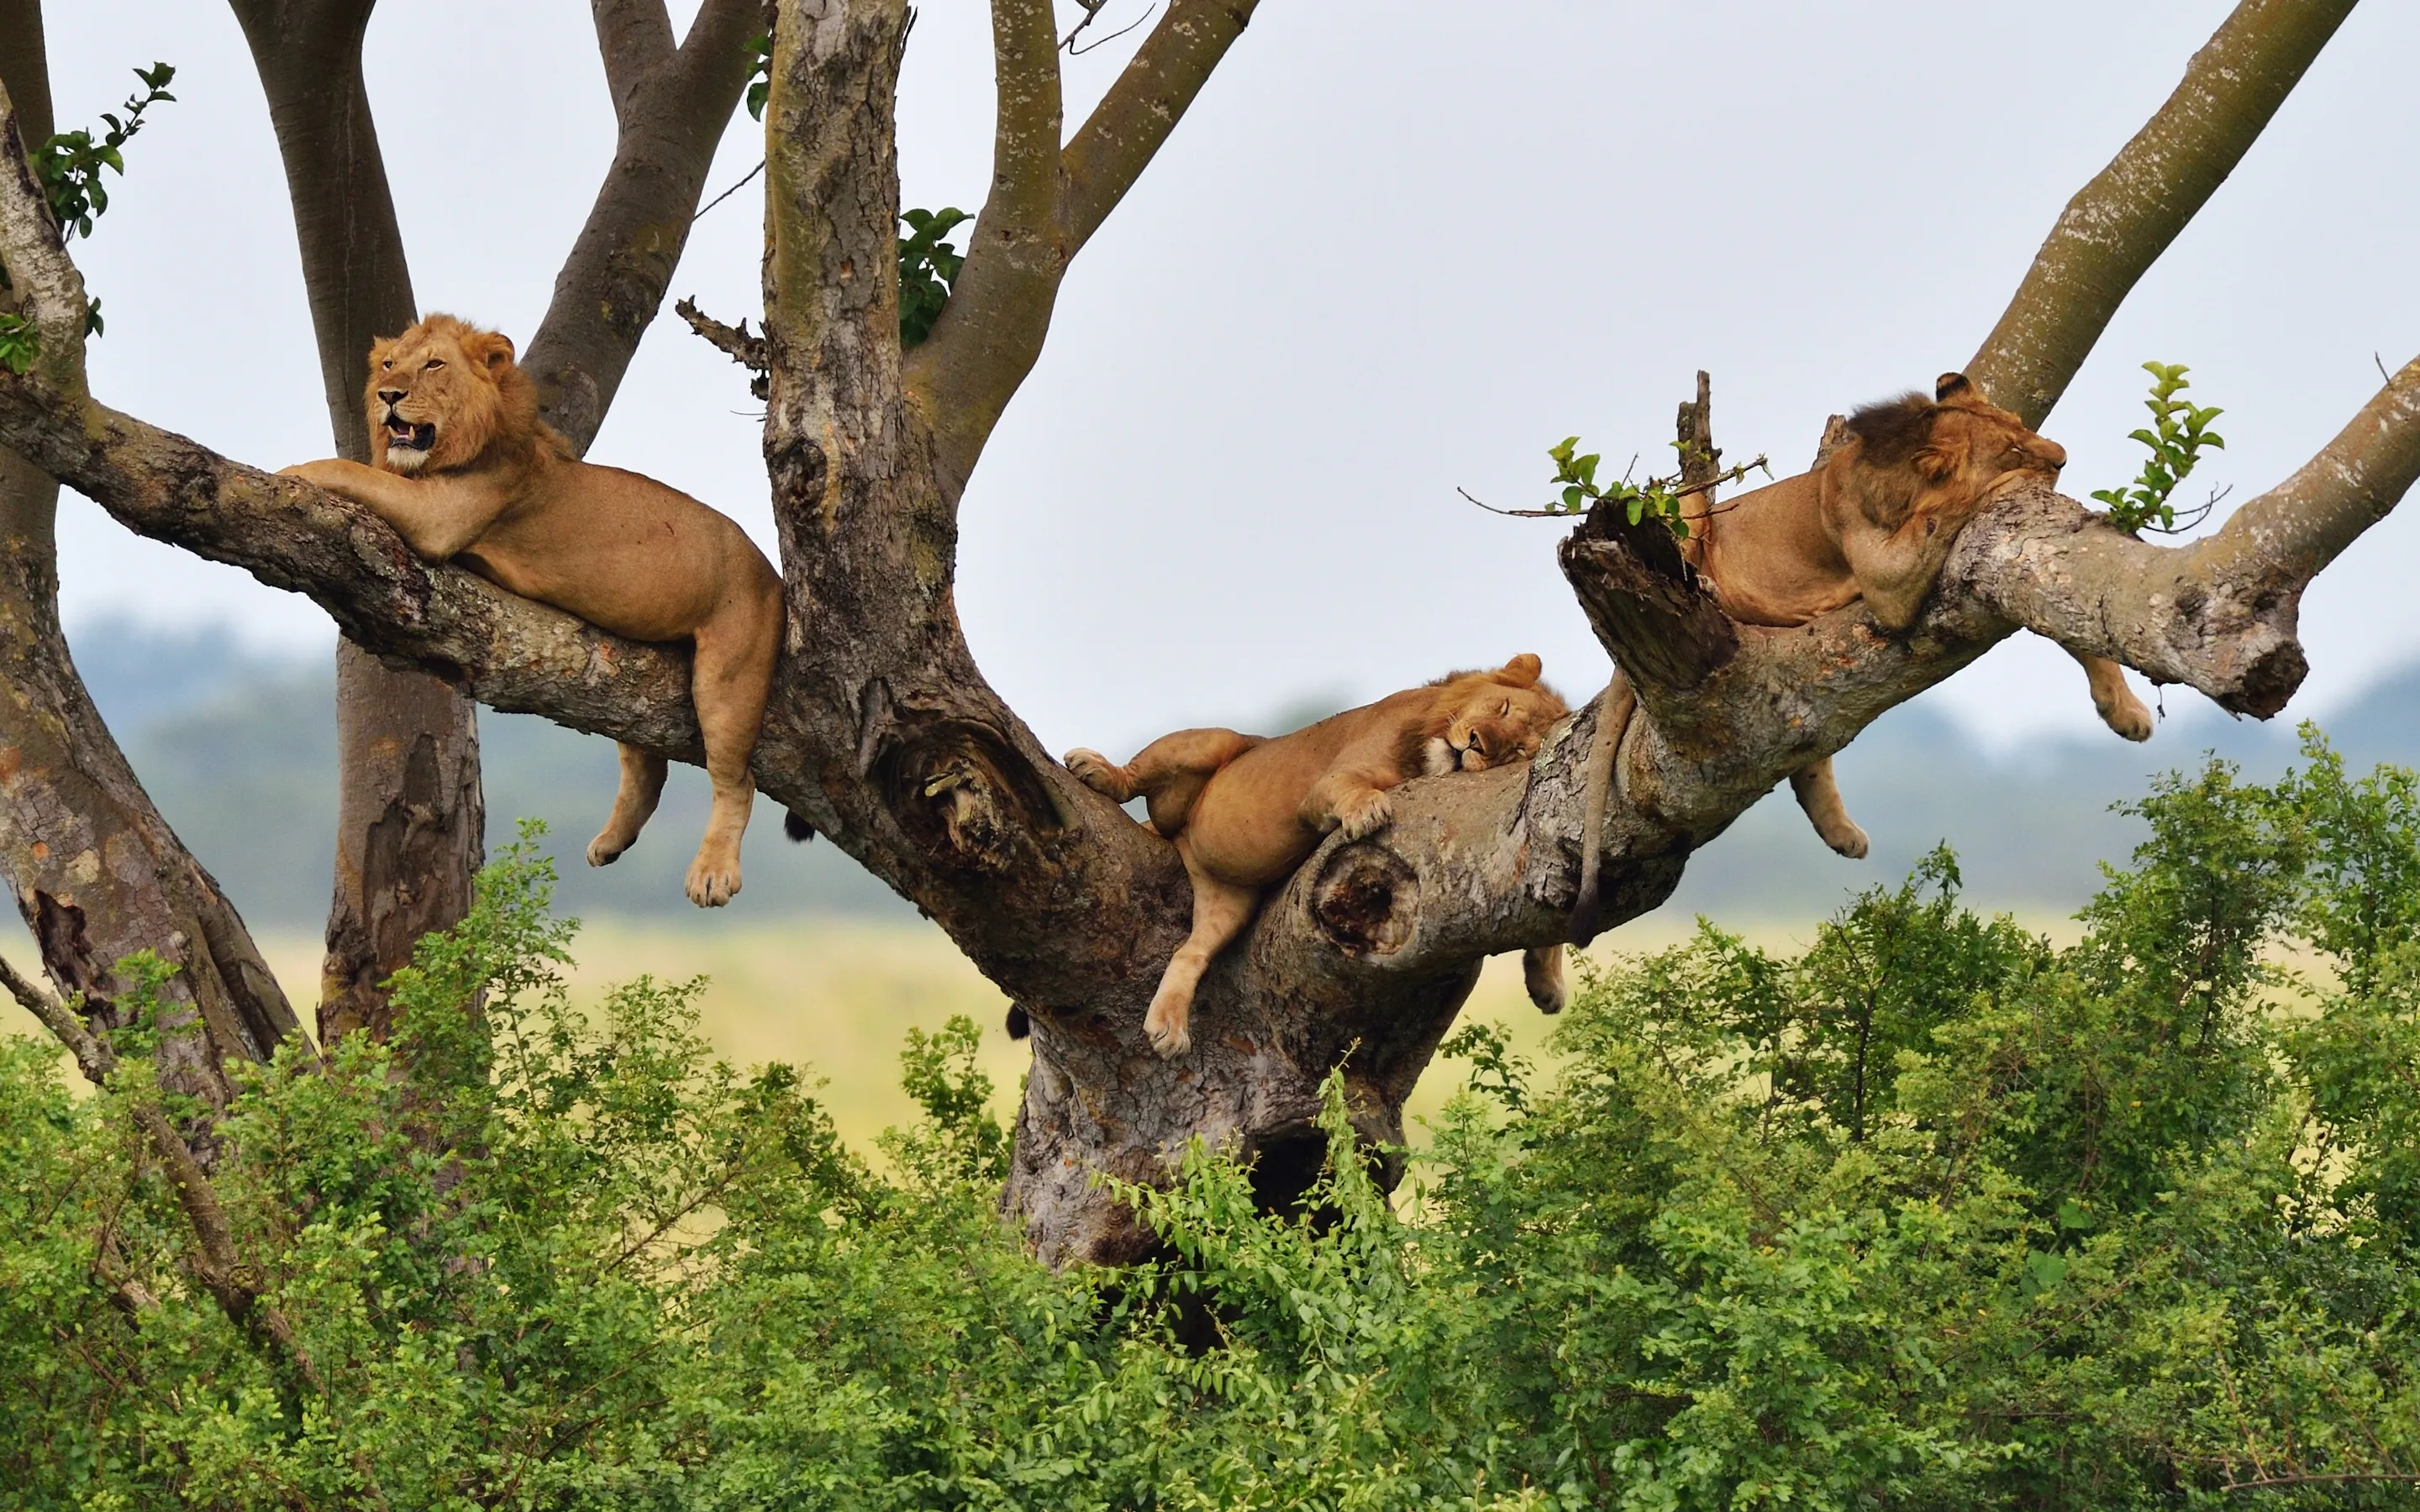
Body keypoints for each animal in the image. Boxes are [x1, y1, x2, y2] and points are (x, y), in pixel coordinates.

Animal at [279, 314, 784, 908]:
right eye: (388, 365)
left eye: (433, 364)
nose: (389, 396)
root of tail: (773, 574)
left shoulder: (439, 515)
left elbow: (354, 471)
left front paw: (291, 469)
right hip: (636, 674)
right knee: (646, 765)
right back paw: (611, 842)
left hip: (730, 675)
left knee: (736, 779)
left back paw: (711, 873)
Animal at [1066, 655, 1572, 1057]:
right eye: (1502, 707)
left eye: (1519, 749)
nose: (1476, 743)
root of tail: (1182, 839)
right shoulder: (1327, 785)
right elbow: (1351, 788)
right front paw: (1368, 809)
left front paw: (1547, 981)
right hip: (1213, 744)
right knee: (1137, 774)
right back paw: (1097, 770)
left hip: (1229, 898)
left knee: (1191, 951)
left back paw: (1168, 1027)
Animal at [1567, 372, 2152, 937]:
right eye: (2010, 447)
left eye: (2020, 424)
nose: (2061, 457)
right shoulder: (1884, 581)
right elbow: (1946, 512)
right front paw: (2004, 485)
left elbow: (2072, 630)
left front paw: (2126, 712)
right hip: (1693, 541)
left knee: (1806, 756)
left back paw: (1843, 836)